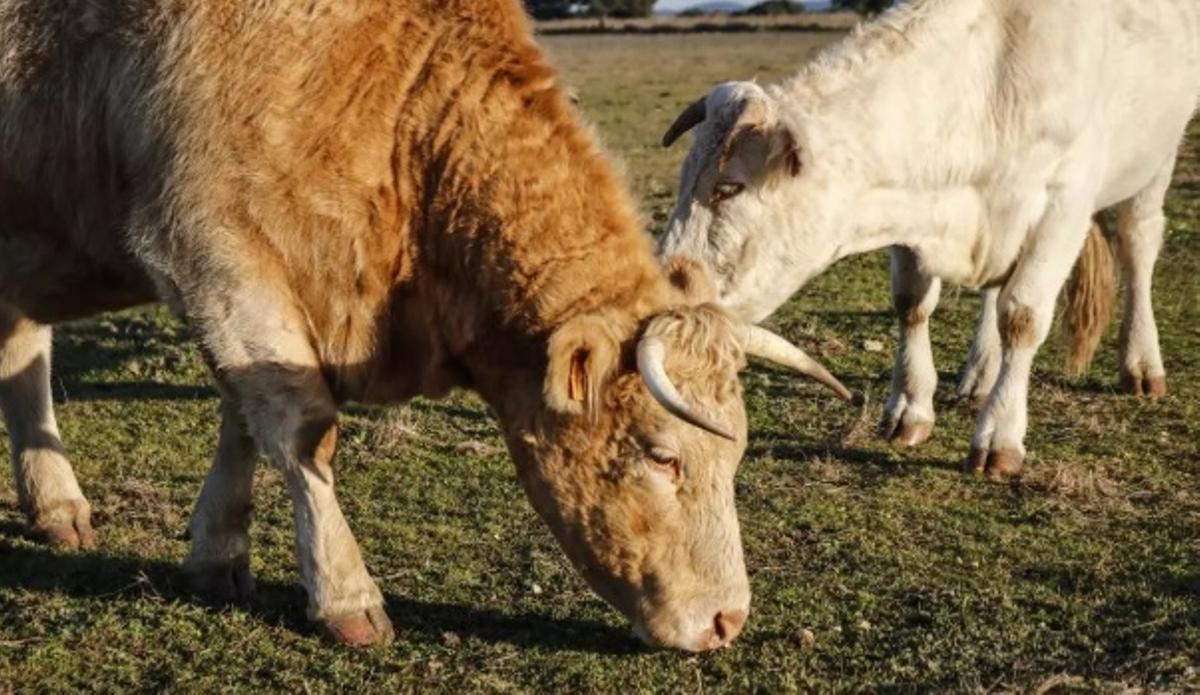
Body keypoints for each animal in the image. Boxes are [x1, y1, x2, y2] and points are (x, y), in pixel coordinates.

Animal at [0, 0, 838, 651]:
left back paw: (56, 505)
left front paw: (217, 551)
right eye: (662, 456)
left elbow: (241, 418)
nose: (727, 620)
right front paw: (345, 596)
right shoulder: (210, 252)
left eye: (734, 456)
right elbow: (302, 432)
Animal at [657, 0, 1200, 476]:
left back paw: (1141, 363)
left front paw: (1000, 434)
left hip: (1156, 161)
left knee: (1138, 245)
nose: (666, 281)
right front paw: (910, 408)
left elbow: (1023, 317)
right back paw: (980, 373)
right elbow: (912, 304)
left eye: (728, 187)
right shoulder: (911, 209)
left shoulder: (1062, 205)